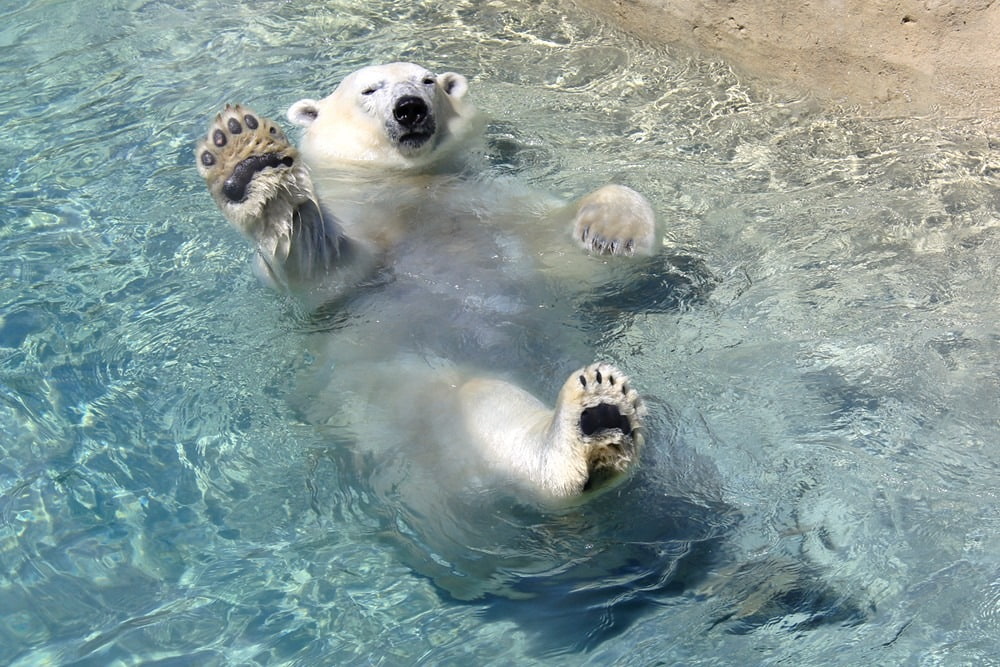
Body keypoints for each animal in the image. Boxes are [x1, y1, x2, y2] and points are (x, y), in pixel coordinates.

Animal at [195, 62, 656, 500]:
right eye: (369, 89)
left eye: (427, 80)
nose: (410, 107)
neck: (410, 185)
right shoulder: (360, 234)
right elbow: (319, 269)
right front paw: (248, 161)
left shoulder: (496, 207)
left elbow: (566, 249)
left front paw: (611, 232)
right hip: (390, 396)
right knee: (474, 403)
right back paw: (592, 423)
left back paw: (603, 422)